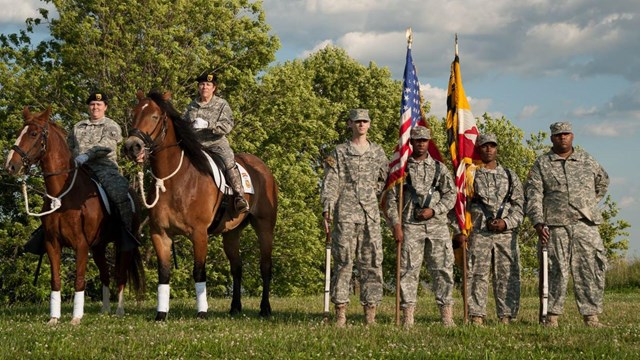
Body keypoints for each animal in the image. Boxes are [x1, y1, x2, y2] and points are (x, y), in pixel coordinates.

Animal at [4, 106, 144, 324]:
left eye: (33, 134)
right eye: (20, 131)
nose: (10, 166)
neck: (64, 195)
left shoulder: (81, 244)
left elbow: (79, 279)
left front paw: (76, 318)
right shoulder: (53, 244)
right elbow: (55, 280)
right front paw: (54, 318)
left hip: (124, 244)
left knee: (120, 275)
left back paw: (119, 311)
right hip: (98, 247)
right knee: (105, 274)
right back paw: (105, 310)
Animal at [124, 90, 276, 320]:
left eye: (155, 116)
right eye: (134, 114)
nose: (132, 146)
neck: (174, 180)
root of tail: (262, 168)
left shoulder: (199, 233)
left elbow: (199, 271)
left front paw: (202, 312)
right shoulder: (160, 234)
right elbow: (164, 273)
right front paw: (161, 314)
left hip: (264, 226)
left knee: (265, 266)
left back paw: (265, 308)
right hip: (231, 233)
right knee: (237, 267)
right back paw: (235, 307)